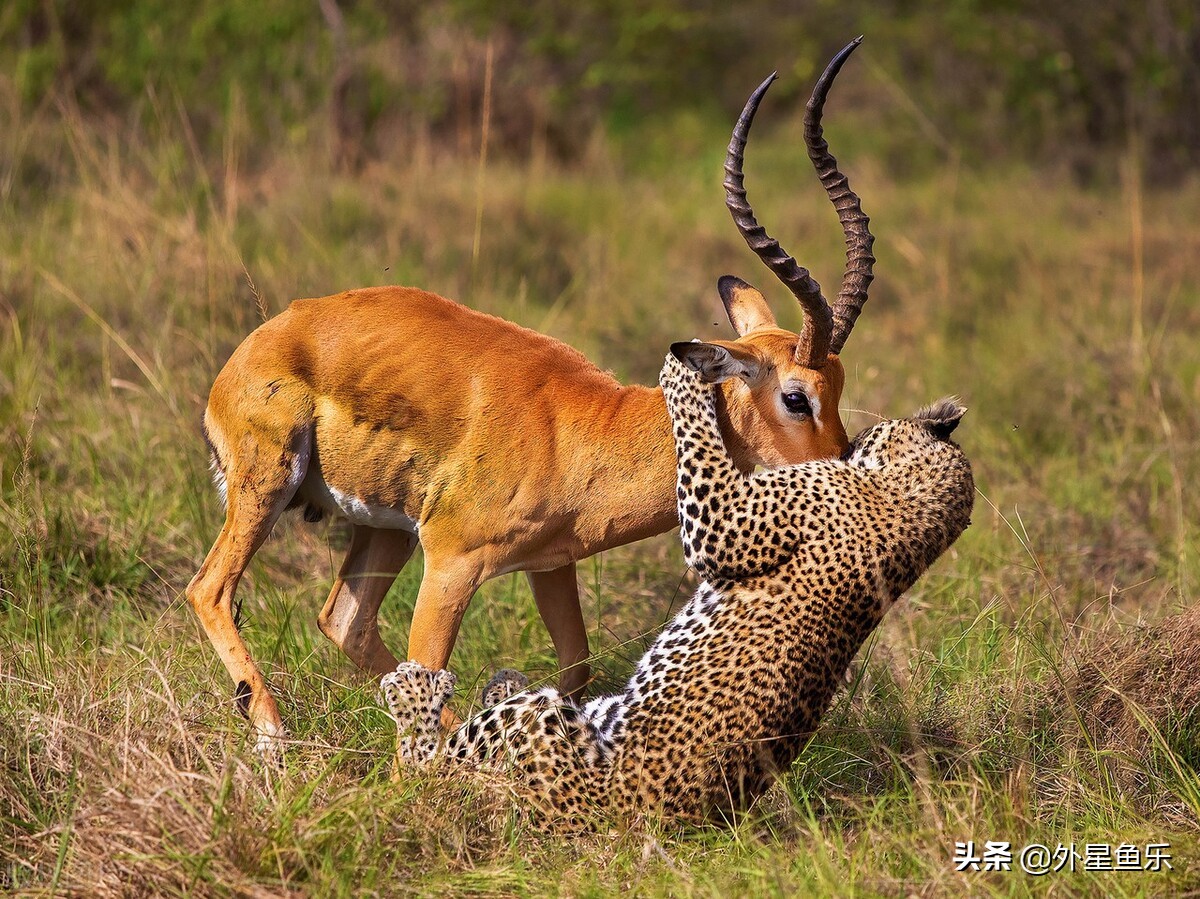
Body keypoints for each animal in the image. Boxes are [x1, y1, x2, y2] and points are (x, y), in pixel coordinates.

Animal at [381, 348, 974, 825]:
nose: (845, 445)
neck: (921, 516)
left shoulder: (724, 524)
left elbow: (700, 442)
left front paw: (682, 375)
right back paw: (499, 681)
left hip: (540, 734)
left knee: (431, 766)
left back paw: (415, 687)